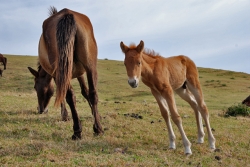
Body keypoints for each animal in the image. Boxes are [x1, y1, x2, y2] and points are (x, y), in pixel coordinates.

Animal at [28, 6, 103, 140]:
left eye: (35, 87)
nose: (41, 110)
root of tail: (66, 14)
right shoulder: (77, 72)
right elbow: (85, 92)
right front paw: (96, 116)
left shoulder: (56, 75)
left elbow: (62, 94)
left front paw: (65, 115)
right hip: (90, 66)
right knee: (91, 94)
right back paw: (95, 129)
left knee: (71, 95)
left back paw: (81, 130)